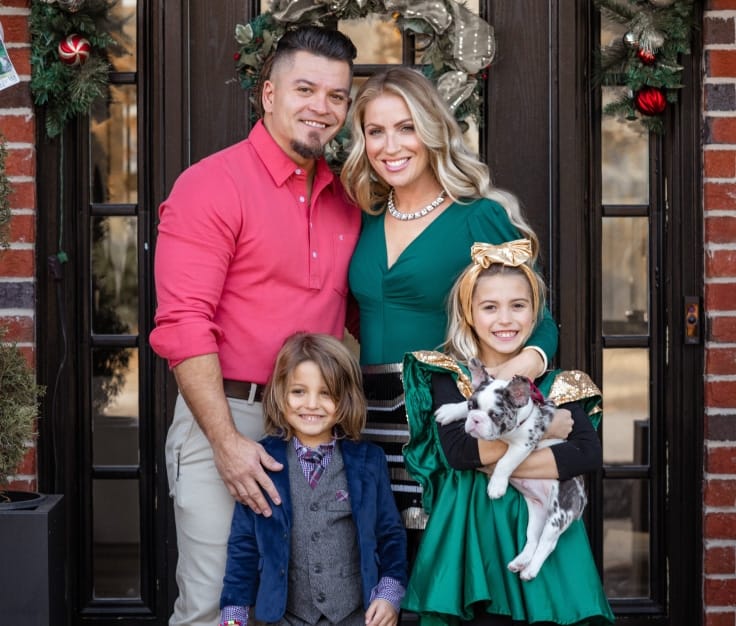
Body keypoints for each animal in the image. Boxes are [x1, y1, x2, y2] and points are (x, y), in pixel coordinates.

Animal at [435, 358, 587, 580]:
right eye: (472, 406)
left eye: (495, 415)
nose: (476, 419)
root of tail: (582, 499)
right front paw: (451, 410)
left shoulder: (523, 444)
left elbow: (505, 463)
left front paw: (496, 486)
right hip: (537, 513)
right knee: (533, 539)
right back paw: (520, 562)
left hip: (558, 514)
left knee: (547, 544)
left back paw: (531, 570)